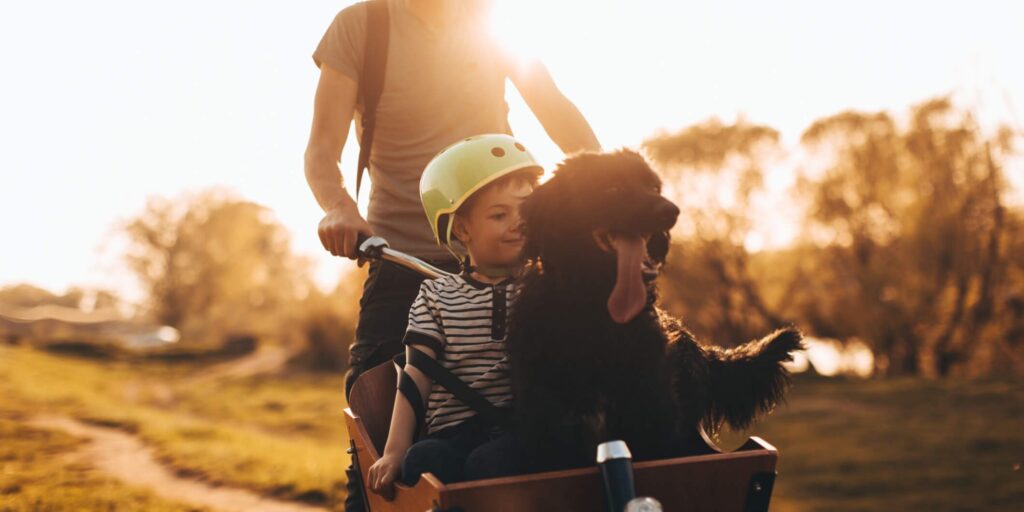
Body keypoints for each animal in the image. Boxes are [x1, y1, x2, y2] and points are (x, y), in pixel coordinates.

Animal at [507, 149, 802, 468]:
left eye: (654, 188)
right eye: (612, 188)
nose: (671, 211)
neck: (597, 313)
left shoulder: (651, 413)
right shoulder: (550, 419)